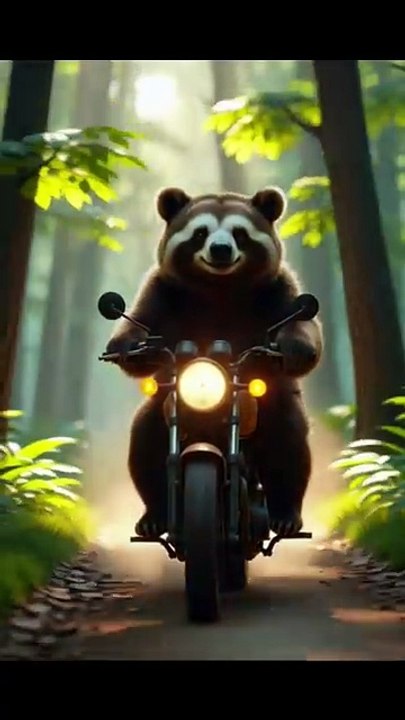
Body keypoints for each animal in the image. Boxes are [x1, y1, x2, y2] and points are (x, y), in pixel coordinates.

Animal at [105, 186, 323, 538]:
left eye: (239, 232)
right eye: (200, 232)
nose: (220, 250)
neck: (219, 287)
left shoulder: (275, 288)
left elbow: (300, 320)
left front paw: (296, 348)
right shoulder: (164, 291)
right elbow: (140, 323)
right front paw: (127, 346)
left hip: (277, 404)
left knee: (289, 446)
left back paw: (286, 513)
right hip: (161, 408)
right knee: (145, 441)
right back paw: (154, 515)